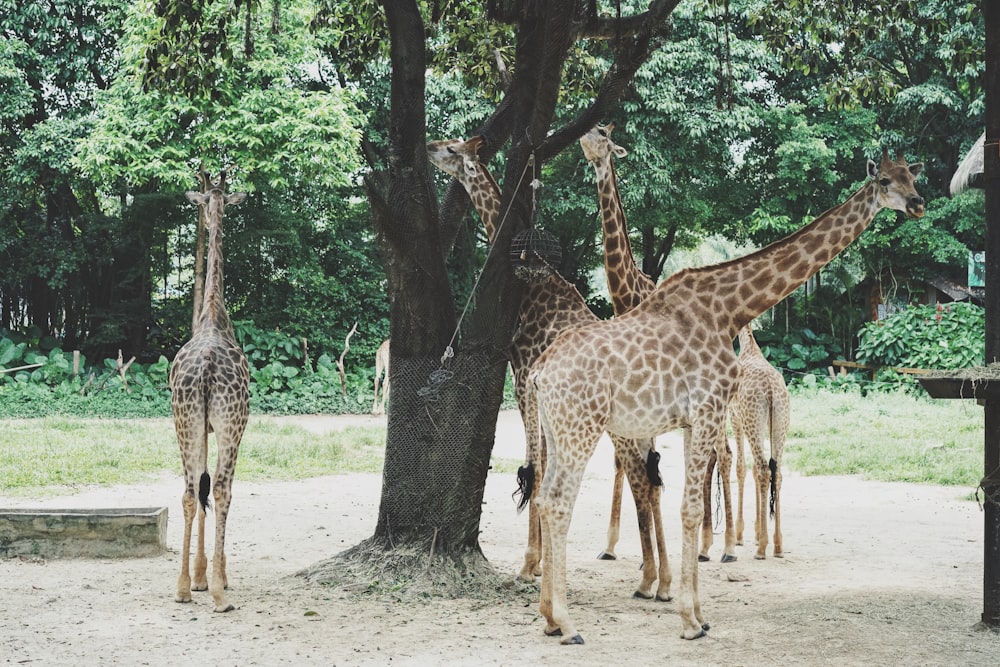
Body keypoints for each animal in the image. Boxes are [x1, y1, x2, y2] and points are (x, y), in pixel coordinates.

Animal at [424, 136, 672, 600]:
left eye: (451, 148)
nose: (428, 145)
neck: (535, 289)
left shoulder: (523, 379)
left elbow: (534, 467)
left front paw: (529, 565)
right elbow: (539, 468)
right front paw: (541, 563)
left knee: (640, 476)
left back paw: (651, 579)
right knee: (651, 478)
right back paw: (661, 580)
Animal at [580, 124, 736, 564]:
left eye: (604, 136)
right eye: (594, 131)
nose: (584, 142)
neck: (627, 295)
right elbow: (626, 463)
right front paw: (611, 545)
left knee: (723, 454)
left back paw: (724, 546)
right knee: (711, 455)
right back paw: (711, 544)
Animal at [728, 324, 788, 560]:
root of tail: (771, 390)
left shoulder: (735, 420)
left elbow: (741, 468)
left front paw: (740, 534)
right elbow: (752, 470)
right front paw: (754, 531)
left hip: (752, 422)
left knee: (763, 469)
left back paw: (762, 548)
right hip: (780, 425)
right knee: (776, 472)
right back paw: (778, 545)